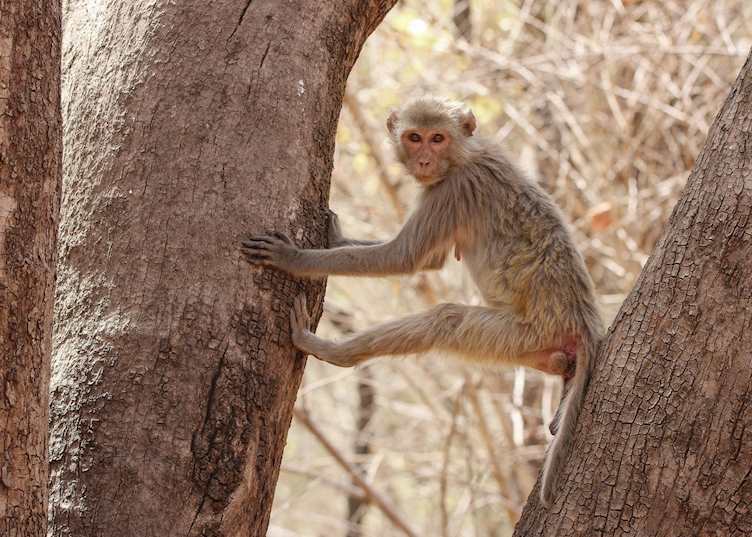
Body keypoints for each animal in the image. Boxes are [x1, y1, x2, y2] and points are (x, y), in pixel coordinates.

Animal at [241, 96, 604, 507]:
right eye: (415, 138)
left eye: (437, 138)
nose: (425, 161)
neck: (463, 155)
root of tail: (584, 319)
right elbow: (429, 260)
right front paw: (336, 237)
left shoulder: (452, 190)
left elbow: (404, 258)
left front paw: (293, 258)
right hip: (531, 344)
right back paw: (560, 368)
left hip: (525, 331)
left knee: (445, 320)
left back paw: (331, 350)